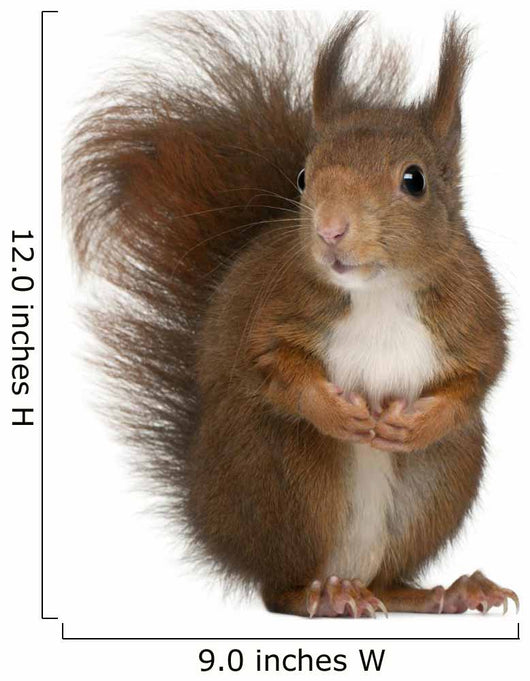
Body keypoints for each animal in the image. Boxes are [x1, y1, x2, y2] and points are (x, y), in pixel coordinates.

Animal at [64, 11, 519, 617]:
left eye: (414, 180)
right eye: (304, 178)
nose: (330, 229)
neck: (377, 290)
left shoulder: (475, 311)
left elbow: (480, 375)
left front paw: (419, 421)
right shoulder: (272, 308)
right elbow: (270, 362)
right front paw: (334, 410)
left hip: (441, 476)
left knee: (389, 581)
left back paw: (450, 590)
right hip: (285, 476)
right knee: (277, 589)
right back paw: (325, 596)